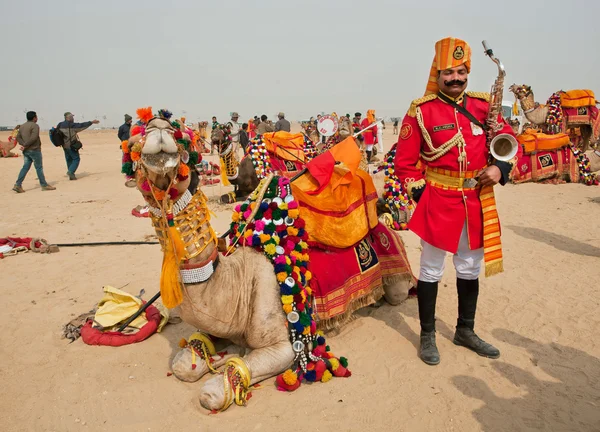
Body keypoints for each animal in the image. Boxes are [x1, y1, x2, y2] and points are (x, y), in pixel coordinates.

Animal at [127, 108, 412, 412]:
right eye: (136, 138)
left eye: (182, 140)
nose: (158, 128)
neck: (236, 283)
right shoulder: (220, 322)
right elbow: (183, 364)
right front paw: (214, 356)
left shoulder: (285, 346)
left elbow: (213, 392)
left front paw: (227, 366)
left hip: (395, 271)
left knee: (398, 292)